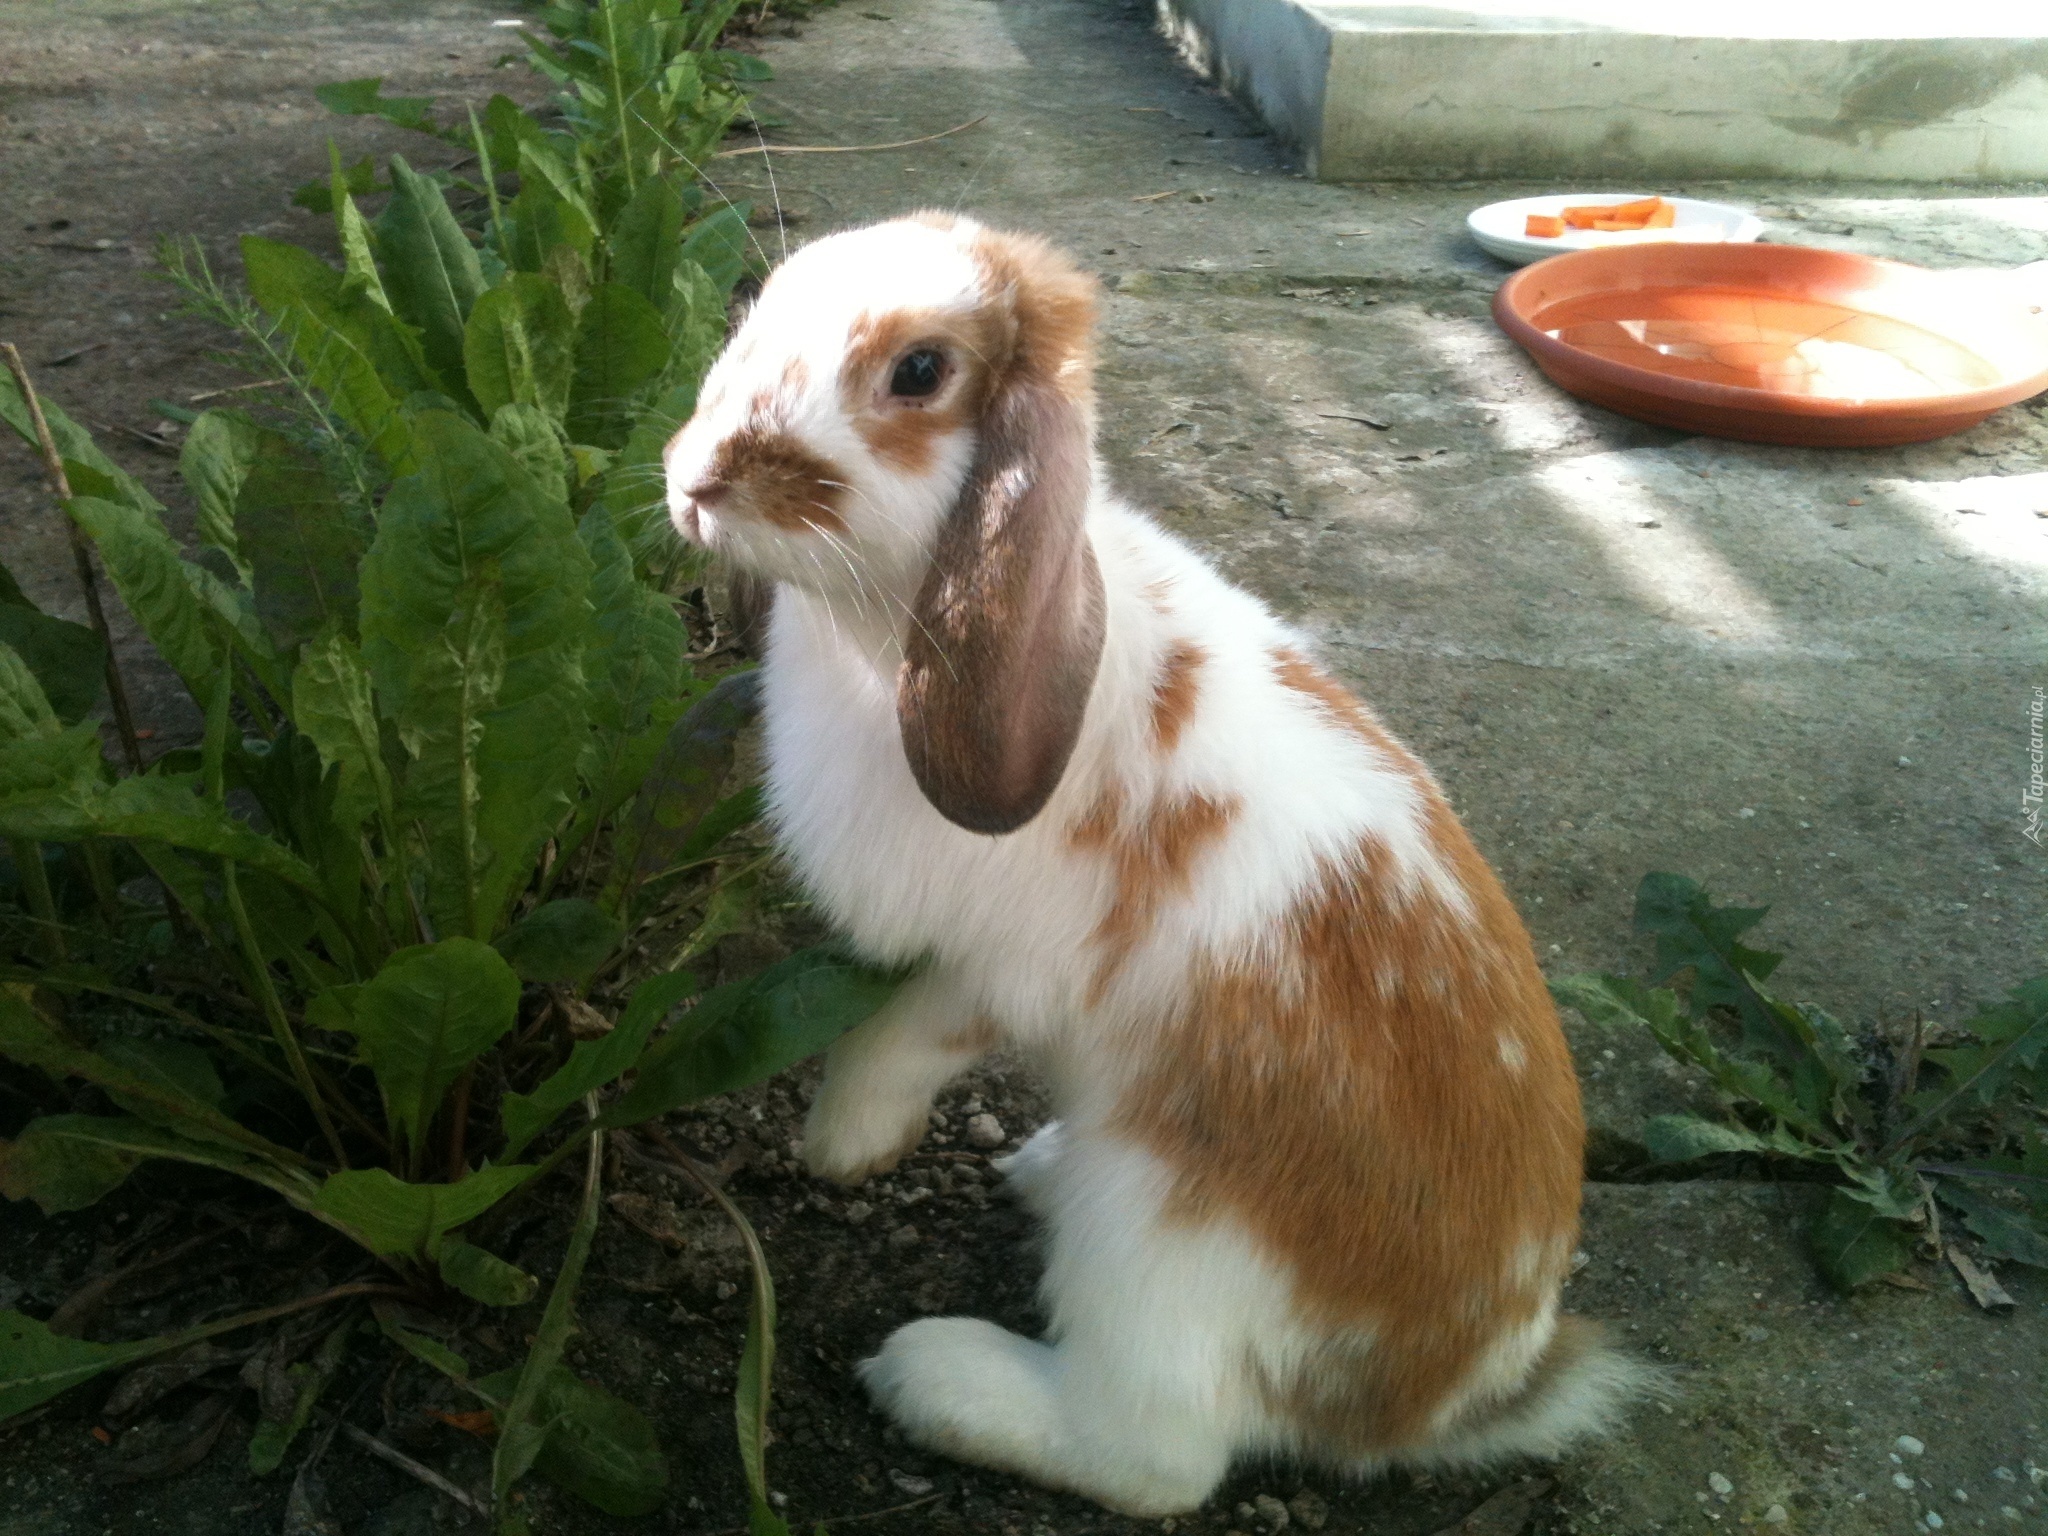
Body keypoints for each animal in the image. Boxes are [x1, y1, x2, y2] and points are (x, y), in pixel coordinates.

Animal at [662, 212, 1653, 1516]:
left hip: (1155, 1241)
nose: (693, 479)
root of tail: (1460, 1389)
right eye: (765, 302)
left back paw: (937, 1377)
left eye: (919, 371)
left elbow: (896, 1039)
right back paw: (1034, 1172)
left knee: (1156, 1458)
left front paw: (839, 1147)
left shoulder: (996, 968)